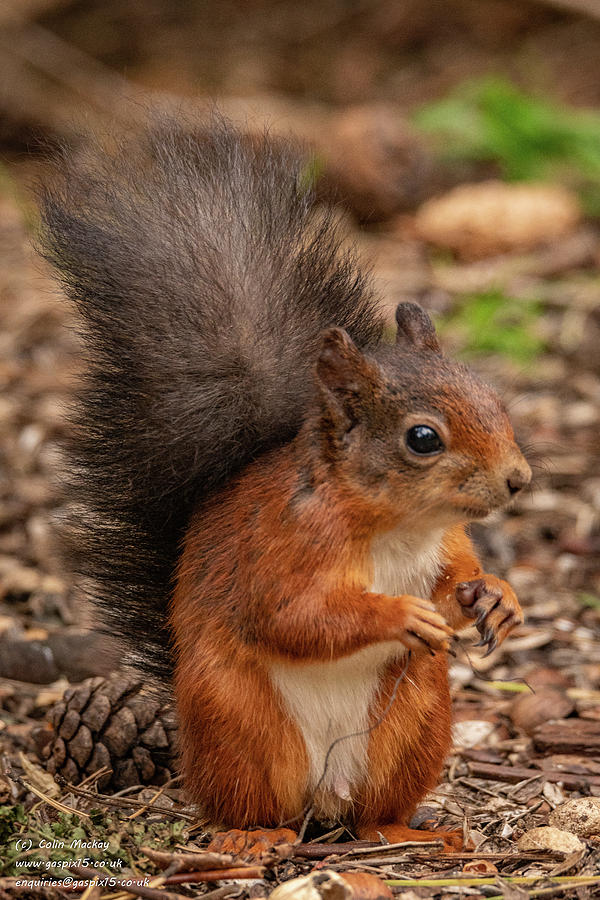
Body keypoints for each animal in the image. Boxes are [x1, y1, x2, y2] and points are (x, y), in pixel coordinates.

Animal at [41, 118, 528, 852]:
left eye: (493, 399)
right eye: (423, 439)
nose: (518, 480)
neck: (396, 524)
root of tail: (322, 799)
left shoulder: (445, 546)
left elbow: (457, 580)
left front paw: (495, 596)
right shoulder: (283, 543)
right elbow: (291, 615)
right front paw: (397, 614)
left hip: (416, 718)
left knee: (373, 810)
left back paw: (409, 832)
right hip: (238, 722)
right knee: (247, 802)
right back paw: (250, 839)